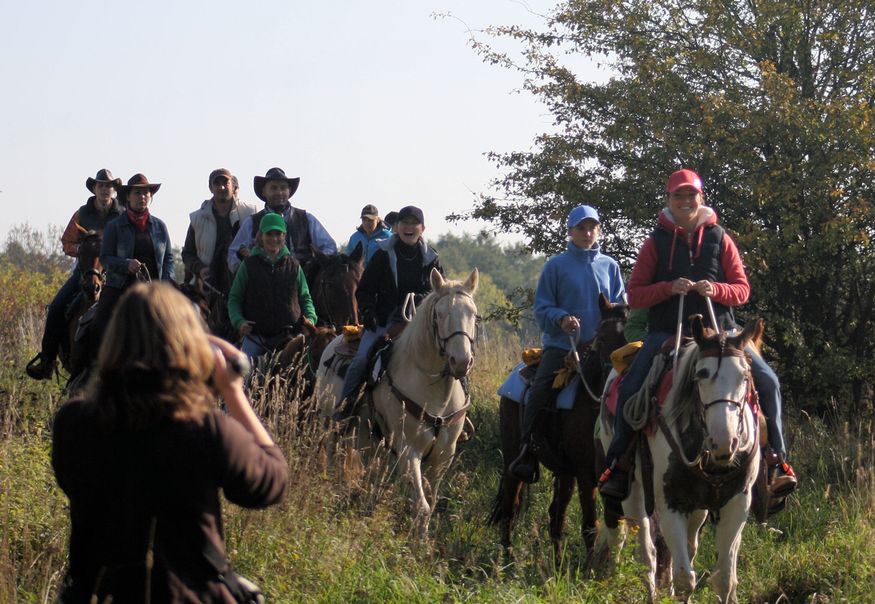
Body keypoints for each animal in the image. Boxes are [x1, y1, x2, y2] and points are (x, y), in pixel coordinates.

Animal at [315, 268, 479, 538]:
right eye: (440, 314)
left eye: (473, 314)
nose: (461, 361)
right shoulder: (408, 450)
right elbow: (421, 506)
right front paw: (417, 543)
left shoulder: (443, 455)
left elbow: (430, 502)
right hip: (331, 424)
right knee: (331, 455)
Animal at [489, 294, 629, 562]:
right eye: (602, 337)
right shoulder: (585, 474)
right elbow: (590, 525)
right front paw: (589, 568)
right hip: (513, 457)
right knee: (511, 505)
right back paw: (507, 559)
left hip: (564, 472)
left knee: (556, 516)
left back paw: (556, 562)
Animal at [595, 315, 762, 603]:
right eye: (701, 374)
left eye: (745, 375)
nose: (724, 441)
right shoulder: (671, 504)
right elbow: (685, 579)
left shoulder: (736, 502)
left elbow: (725, 579)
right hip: (633, 493)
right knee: (646, 554)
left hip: (698, 510)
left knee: (685, 546)